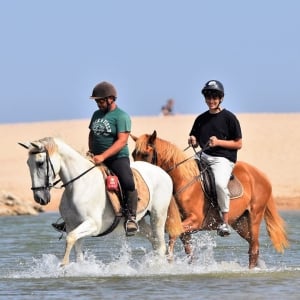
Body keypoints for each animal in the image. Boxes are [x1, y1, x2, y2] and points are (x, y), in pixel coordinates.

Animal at [19, 137, 183, 266]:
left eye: (40, 163)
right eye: (27, 163)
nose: (39, 198)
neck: (78, 185)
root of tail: (163, 172)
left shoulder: (93, 225)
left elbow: (70, 238)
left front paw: (63, 265)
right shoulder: (73, 225)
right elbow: (76, 248)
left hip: (158, 216)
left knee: (160, 245)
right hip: (139, 222)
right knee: (154, 242)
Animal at [131, 130, 288, 268]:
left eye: (145, 154)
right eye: (133, 155)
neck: (183, 181)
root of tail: (261, 175)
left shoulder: (195, 220)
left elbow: (173, 235)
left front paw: (168, 261)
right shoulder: (184, 226)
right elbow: (188, 251)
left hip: (254, 217)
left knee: (254, 248)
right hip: (240, 222)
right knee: (253, 245)